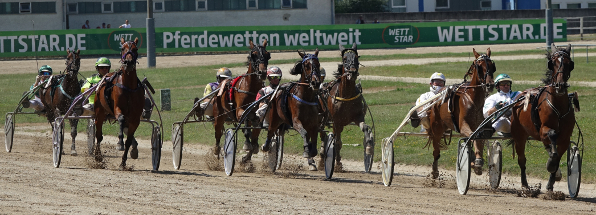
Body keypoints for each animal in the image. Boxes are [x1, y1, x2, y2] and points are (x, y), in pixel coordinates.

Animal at [94, 37, 144, 167]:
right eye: (122, 48)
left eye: (135, 49)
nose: (128, 62)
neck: (129, 87)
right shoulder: (117, 108)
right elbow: (120, 118)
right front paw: (119, 143)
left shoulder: (135, 118)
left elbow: (129, 140)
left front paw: (123, 162)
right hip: (99, 112)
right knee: (98, 135)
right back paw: (97, 156)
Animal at [318, 43, 370, 171]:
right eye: (345, 59)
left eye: (356, 58)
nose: (352, 72)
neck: (346, 95)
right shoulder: (336, 122)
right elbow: (337, 142)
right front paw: (337, 164)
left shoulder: (358, 117)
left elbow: (365, 127)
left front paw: (368, 147)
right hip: (323, 119)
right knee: (323, 135)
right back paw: (321, 161)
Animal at [426, 48, 496, 178]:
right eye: (479, 66)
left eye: (492, 66)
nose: (490, 84)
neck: (472, 98)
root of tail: (436, 99)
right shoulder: (463, 125)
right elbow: (473, 136)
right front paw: (474, 161)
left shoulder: (479, 126)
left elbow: (479, 138)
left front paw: (477, 161)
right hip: (436, 128)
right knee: (436, 150)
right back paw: (434, 171)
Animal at [508, 43, 576, 191]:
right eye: (553, 63)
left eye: (569, 63)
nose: (560, 85)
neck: (558, 105)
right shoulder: (543, 130)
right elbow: (552, 134)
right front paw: (551, 163)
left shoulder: (565, 138)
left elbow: (557, 158)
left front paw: (551, 181)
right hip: (519, 136)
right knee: (522, 160)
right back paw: (525, 184)